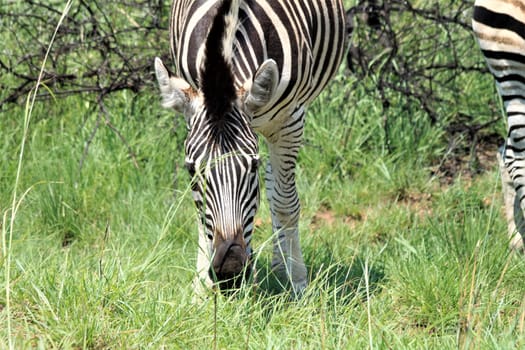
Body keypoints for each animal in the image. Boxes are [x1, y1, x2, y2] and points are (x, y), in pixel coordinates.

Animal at [154, 0, 346, 296]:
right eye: (191, 171)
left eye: (252, 165)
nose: (230, 271)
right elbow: (201, 215)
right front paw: (202, 287)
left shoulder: (289, 121)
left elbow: (284, 203)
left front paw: (296, 281)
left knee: (278, 191)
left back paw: (280, 268)